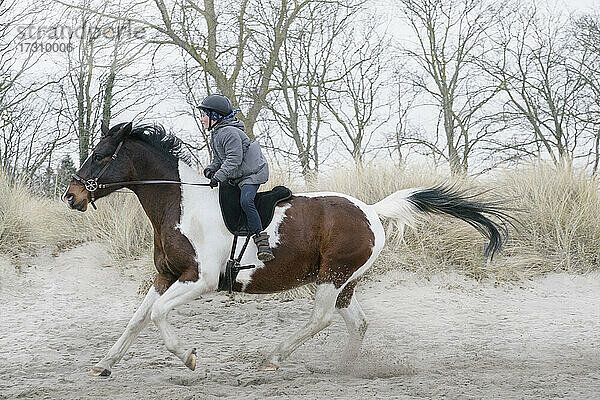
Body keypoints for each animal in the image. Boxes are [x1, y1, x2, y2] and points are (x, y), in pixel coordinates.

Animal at [62, 121, 510, 376]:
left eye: (99, 155)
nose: (71, 196)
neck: (180, 203)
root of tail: (371, 210)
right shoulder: (166, 275)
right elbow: (138, 318)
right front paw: (104, 364)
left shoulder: (200, 280)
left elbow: (156, 315)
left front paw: (189, 359)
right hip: (344, 282)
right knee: (357, 323)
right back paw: (347, 369)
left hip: (332, 277)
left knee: (320, 319)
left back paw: (273, 358)